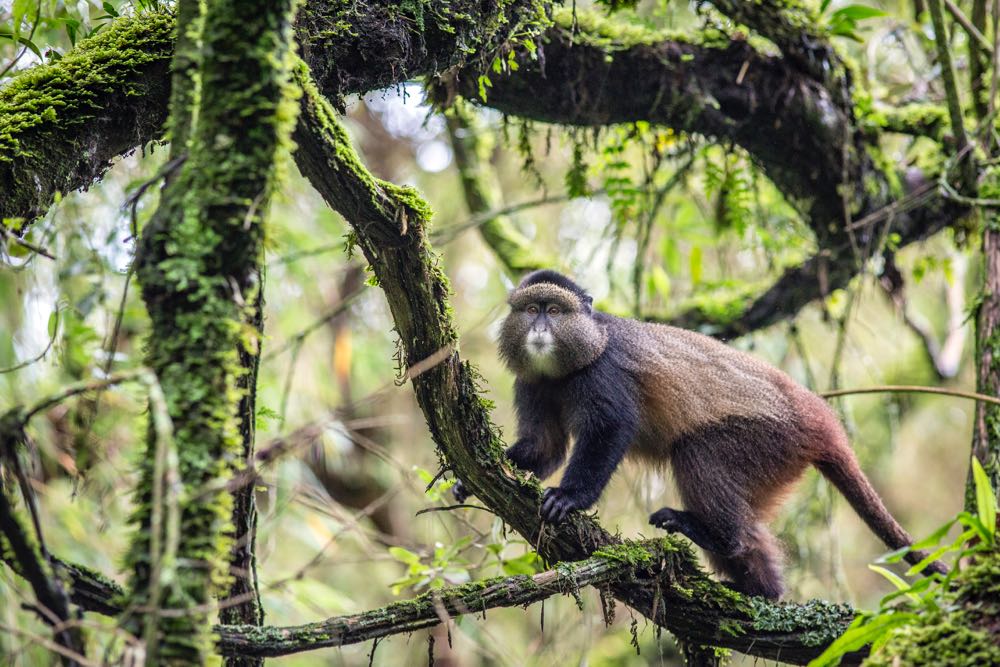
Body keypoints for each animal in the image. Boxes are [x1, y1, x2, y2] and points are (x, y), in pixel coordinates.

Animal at [454, 269, 948, 600]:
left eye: (555, 310)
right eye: (530, 309)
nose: (540, 327)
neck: (571, 361)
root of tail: (819, 418)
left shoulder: (604, 373)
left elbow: (611, 429)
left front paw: (569, 498)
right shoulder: (532, 382)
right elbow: (546, 448)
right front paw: (470, 481)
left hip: (767, 442)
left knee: (697, 454)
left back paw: (717, 537)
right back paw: (762, 589)